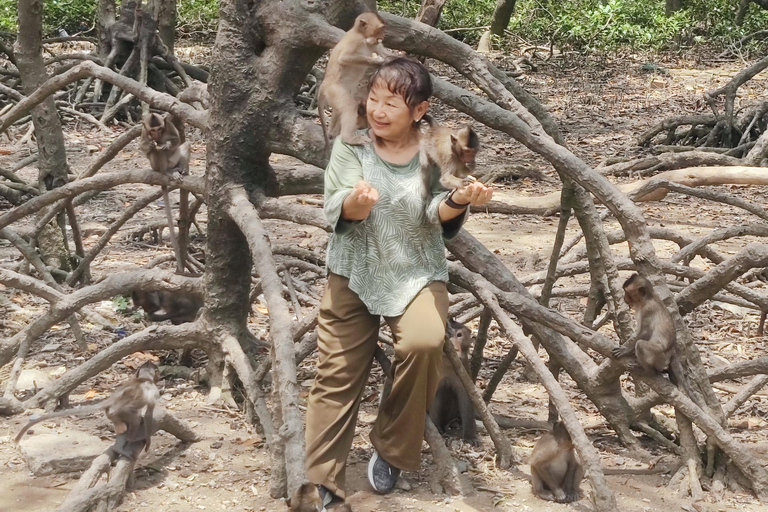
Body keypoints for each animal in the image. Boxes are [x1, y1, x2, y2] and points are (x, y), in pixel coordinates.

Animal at [140, 111, 192, 272]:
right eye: (152, 130)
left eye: (160, 129)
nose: (156, 136)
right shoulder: (143, 131)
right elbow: (143, 147)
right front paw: (151, 144)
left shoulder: (168, 124)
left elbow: (176, 139)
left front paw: (167, 144)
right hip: (156, 166)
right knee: (156, 153)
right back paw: (167, 172)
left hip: (175, 160)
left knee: (185, 145)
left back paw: (181, 170)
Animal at [316, 11, 396, 146]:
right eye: (380, 29)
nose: (384, 35)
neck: (364, 38)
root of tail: (323, 86)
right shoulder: (355, 40)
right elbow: (344, 58)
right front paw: (377, 61)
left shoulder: (375, 44)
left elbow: (386, 54)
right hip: (333, 90)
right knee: (349, 106)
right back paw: (347, 138)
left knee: (339, 110)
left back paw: (333, 133)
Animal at [426, 318, 480, 446]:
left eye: (459, 335)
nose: (455, 349)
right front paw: (436, 428)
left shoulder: (463, 370)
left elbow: (466, 396)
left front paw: (470, 436)